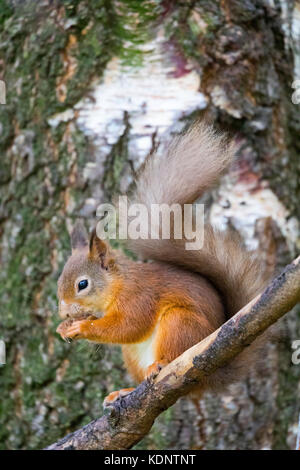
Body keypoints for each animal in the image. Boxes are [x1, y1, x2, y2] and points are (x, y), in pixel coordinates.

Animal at [55, 123, 270, 406]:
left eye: (82, 284)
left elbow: (129, 326)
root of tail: (211, 374)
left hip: (179, 323)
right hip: (132, 355)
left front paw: (81, 327)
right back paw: (124, 391)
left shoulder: (139, 297)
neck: (117, 284)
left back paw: (160, 365)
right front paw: (63, 328)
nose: (64, 313)